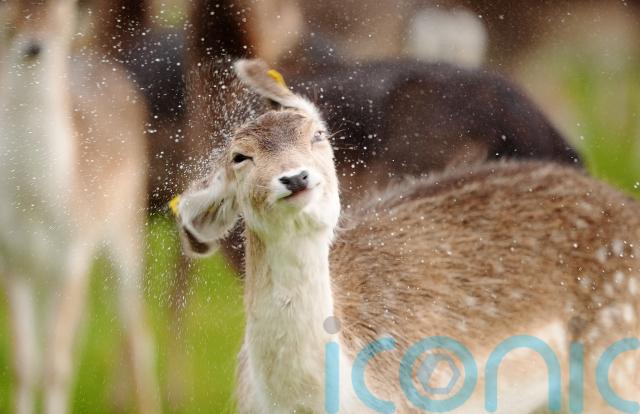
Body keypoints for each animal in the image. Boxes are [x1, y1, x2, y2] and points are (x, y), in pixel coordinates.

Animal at [0, 0, 160, 413]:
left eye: (58, 7)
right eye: (10, 7)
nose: (34, 46)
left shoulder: (73, 255)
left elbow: (56, 367)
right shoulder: (14, 262)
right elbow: (25, 364)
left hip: (127, 232)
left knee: (135, 327)